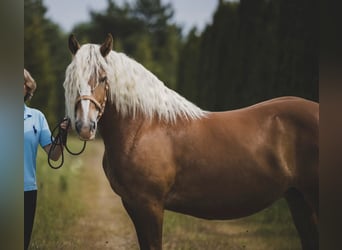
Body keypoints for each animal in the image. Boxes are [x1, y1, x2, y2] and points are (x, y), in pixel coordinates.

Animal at [62, 33, 320, 250]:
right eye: (70, 81)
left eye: (103, 77)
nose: (85, 127)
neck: (144, 126)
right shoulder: (132, 204)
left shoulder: (150, 205)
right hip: (298, 199)